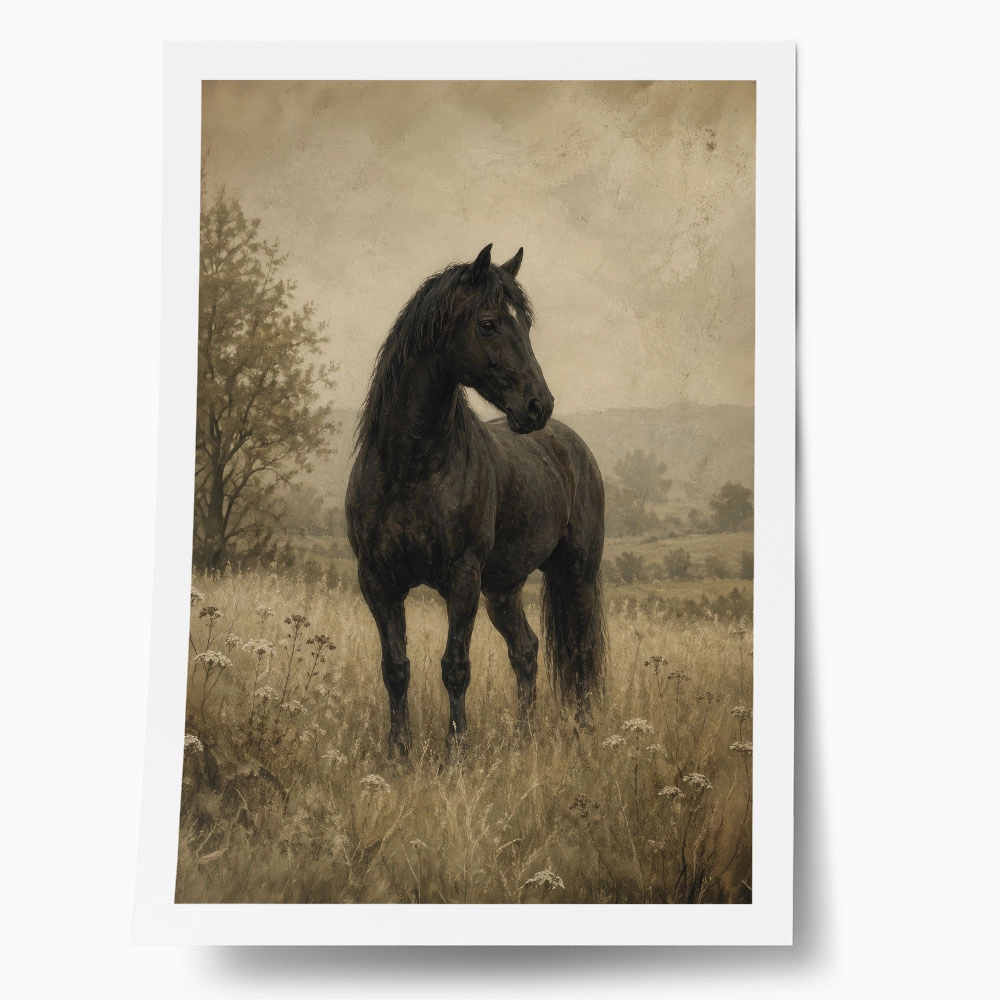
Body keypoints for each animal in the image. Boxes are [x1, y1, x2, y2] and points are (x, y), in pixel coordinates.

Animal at [346, 244, 606, 755]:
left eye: (524, 324)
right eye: (488, 323)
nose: (538, 405)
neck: (411, 469)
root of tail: (571, 445)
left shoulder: (462, 578)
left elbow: (455, 668)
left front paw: (457, 753)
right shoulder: (377, 581)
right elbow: (395, 669)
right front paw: (399, 753)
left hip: (577, 573)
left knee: (583, 651)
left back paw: (584, 733)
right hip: (503, 589)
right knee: (526, 651)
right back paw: (525, 737)